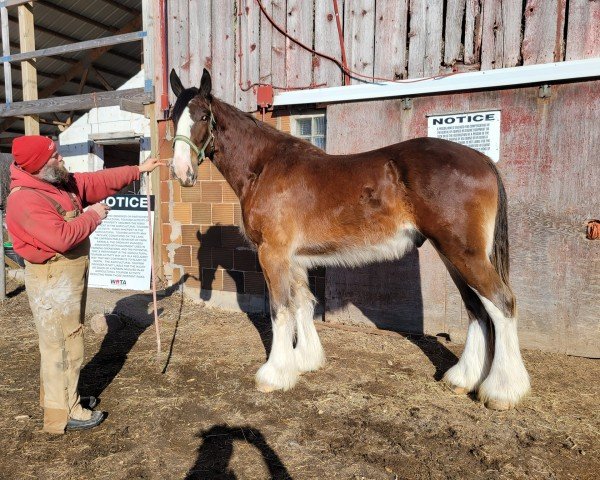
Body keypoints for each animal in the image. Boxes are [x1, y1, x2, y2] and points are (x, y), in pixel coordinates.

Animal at [166, 67, 528, 410]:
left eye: (202, 116)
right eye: (173, 118)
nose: (181, 172)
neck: (265, 166)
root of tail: (483, 160)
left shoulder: (273, 253)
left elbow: (280, 309)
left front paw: (274, 374)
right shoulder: (294, 258)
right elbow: (302, 303)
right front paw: (305, 361)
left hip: (462, 253)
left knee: (501, 303)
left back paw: (503, 391)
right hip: (452, 254)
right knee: (477, 308)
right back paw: (463, 379)